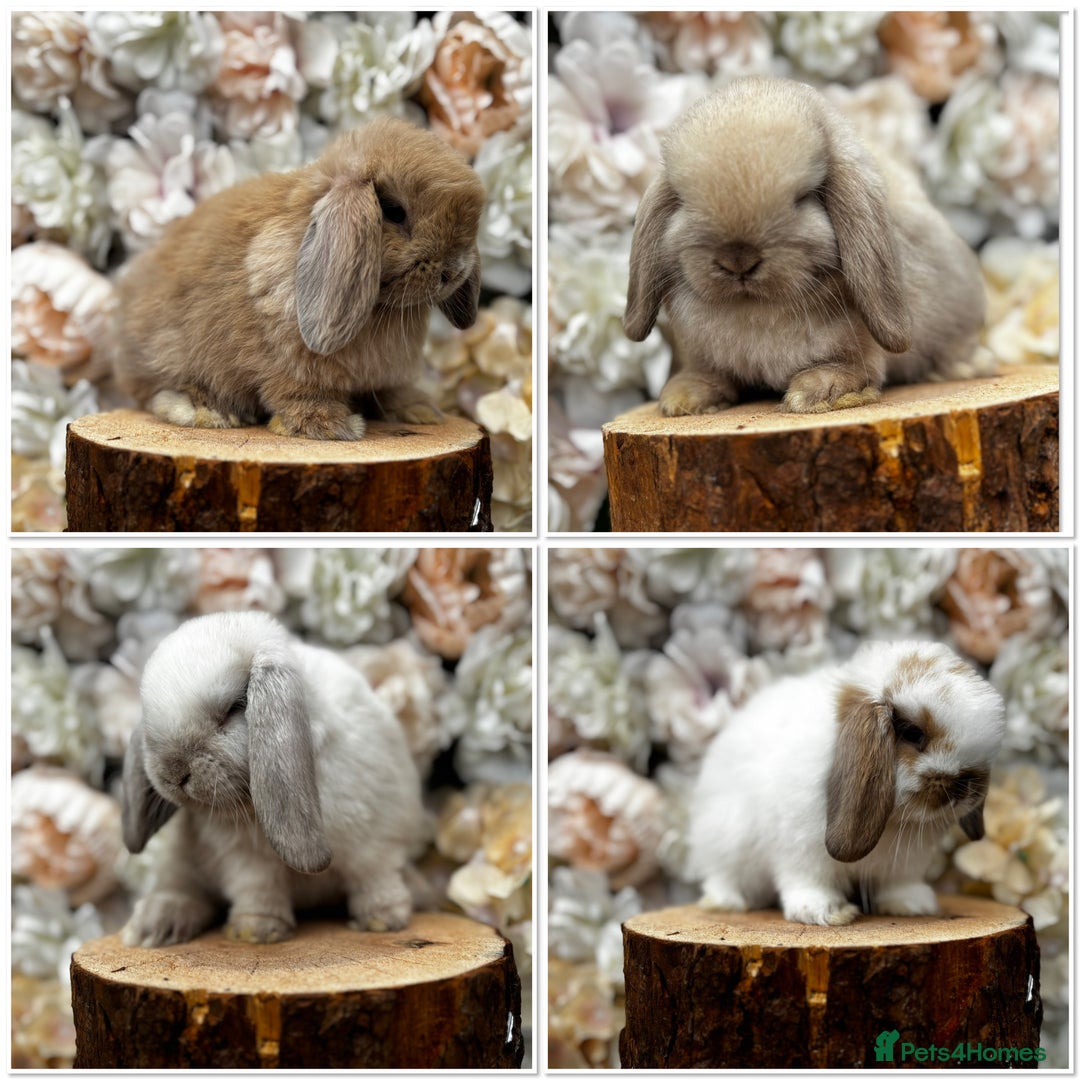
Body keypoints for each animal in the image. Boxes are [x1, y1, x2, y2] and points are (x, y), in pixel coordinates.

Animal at [113, 117, 486, 441]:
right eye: (394, 211)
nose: (453, 271)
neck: (381, 308)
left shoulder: (384, 375)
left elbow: (391, 389)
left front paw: (420, 410)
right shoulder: (283, 360)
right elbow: (297, 392)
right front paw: (332, 427)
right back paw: (208, 411)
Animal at [120, 611, 427, 947]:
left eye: (235, 707)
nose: (174, 773)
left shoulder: (374, 838)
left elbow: (375, 878)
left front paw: (383, 920)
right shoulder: (244, 858)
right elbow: (258, 888)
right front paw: (255, 930)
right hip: (182, 862)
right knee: (183, 890)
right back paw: (151, 926)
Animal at [624, 76, 987, 417]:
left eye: (803, 197)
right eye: (683, 199)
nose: (738, 260)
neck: (756, 309)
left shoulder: (862, 348)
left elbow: (855, 369)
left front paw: (816, 393)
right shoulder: (701, 352)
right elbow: (708, 372)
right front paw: (682, 399)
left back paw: (964, 366)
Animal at [685, 640, 1005, 926]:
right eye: (913, 733)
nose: (967, 786)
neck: (891, 822)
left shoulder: (905, 863)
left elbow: (899, 883)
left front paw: (912, 905)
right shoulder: (801, 849)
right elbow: (809, 881)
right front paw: (826, 913)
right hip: (725, 839)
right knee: (722, 876)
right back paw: (727, 903)